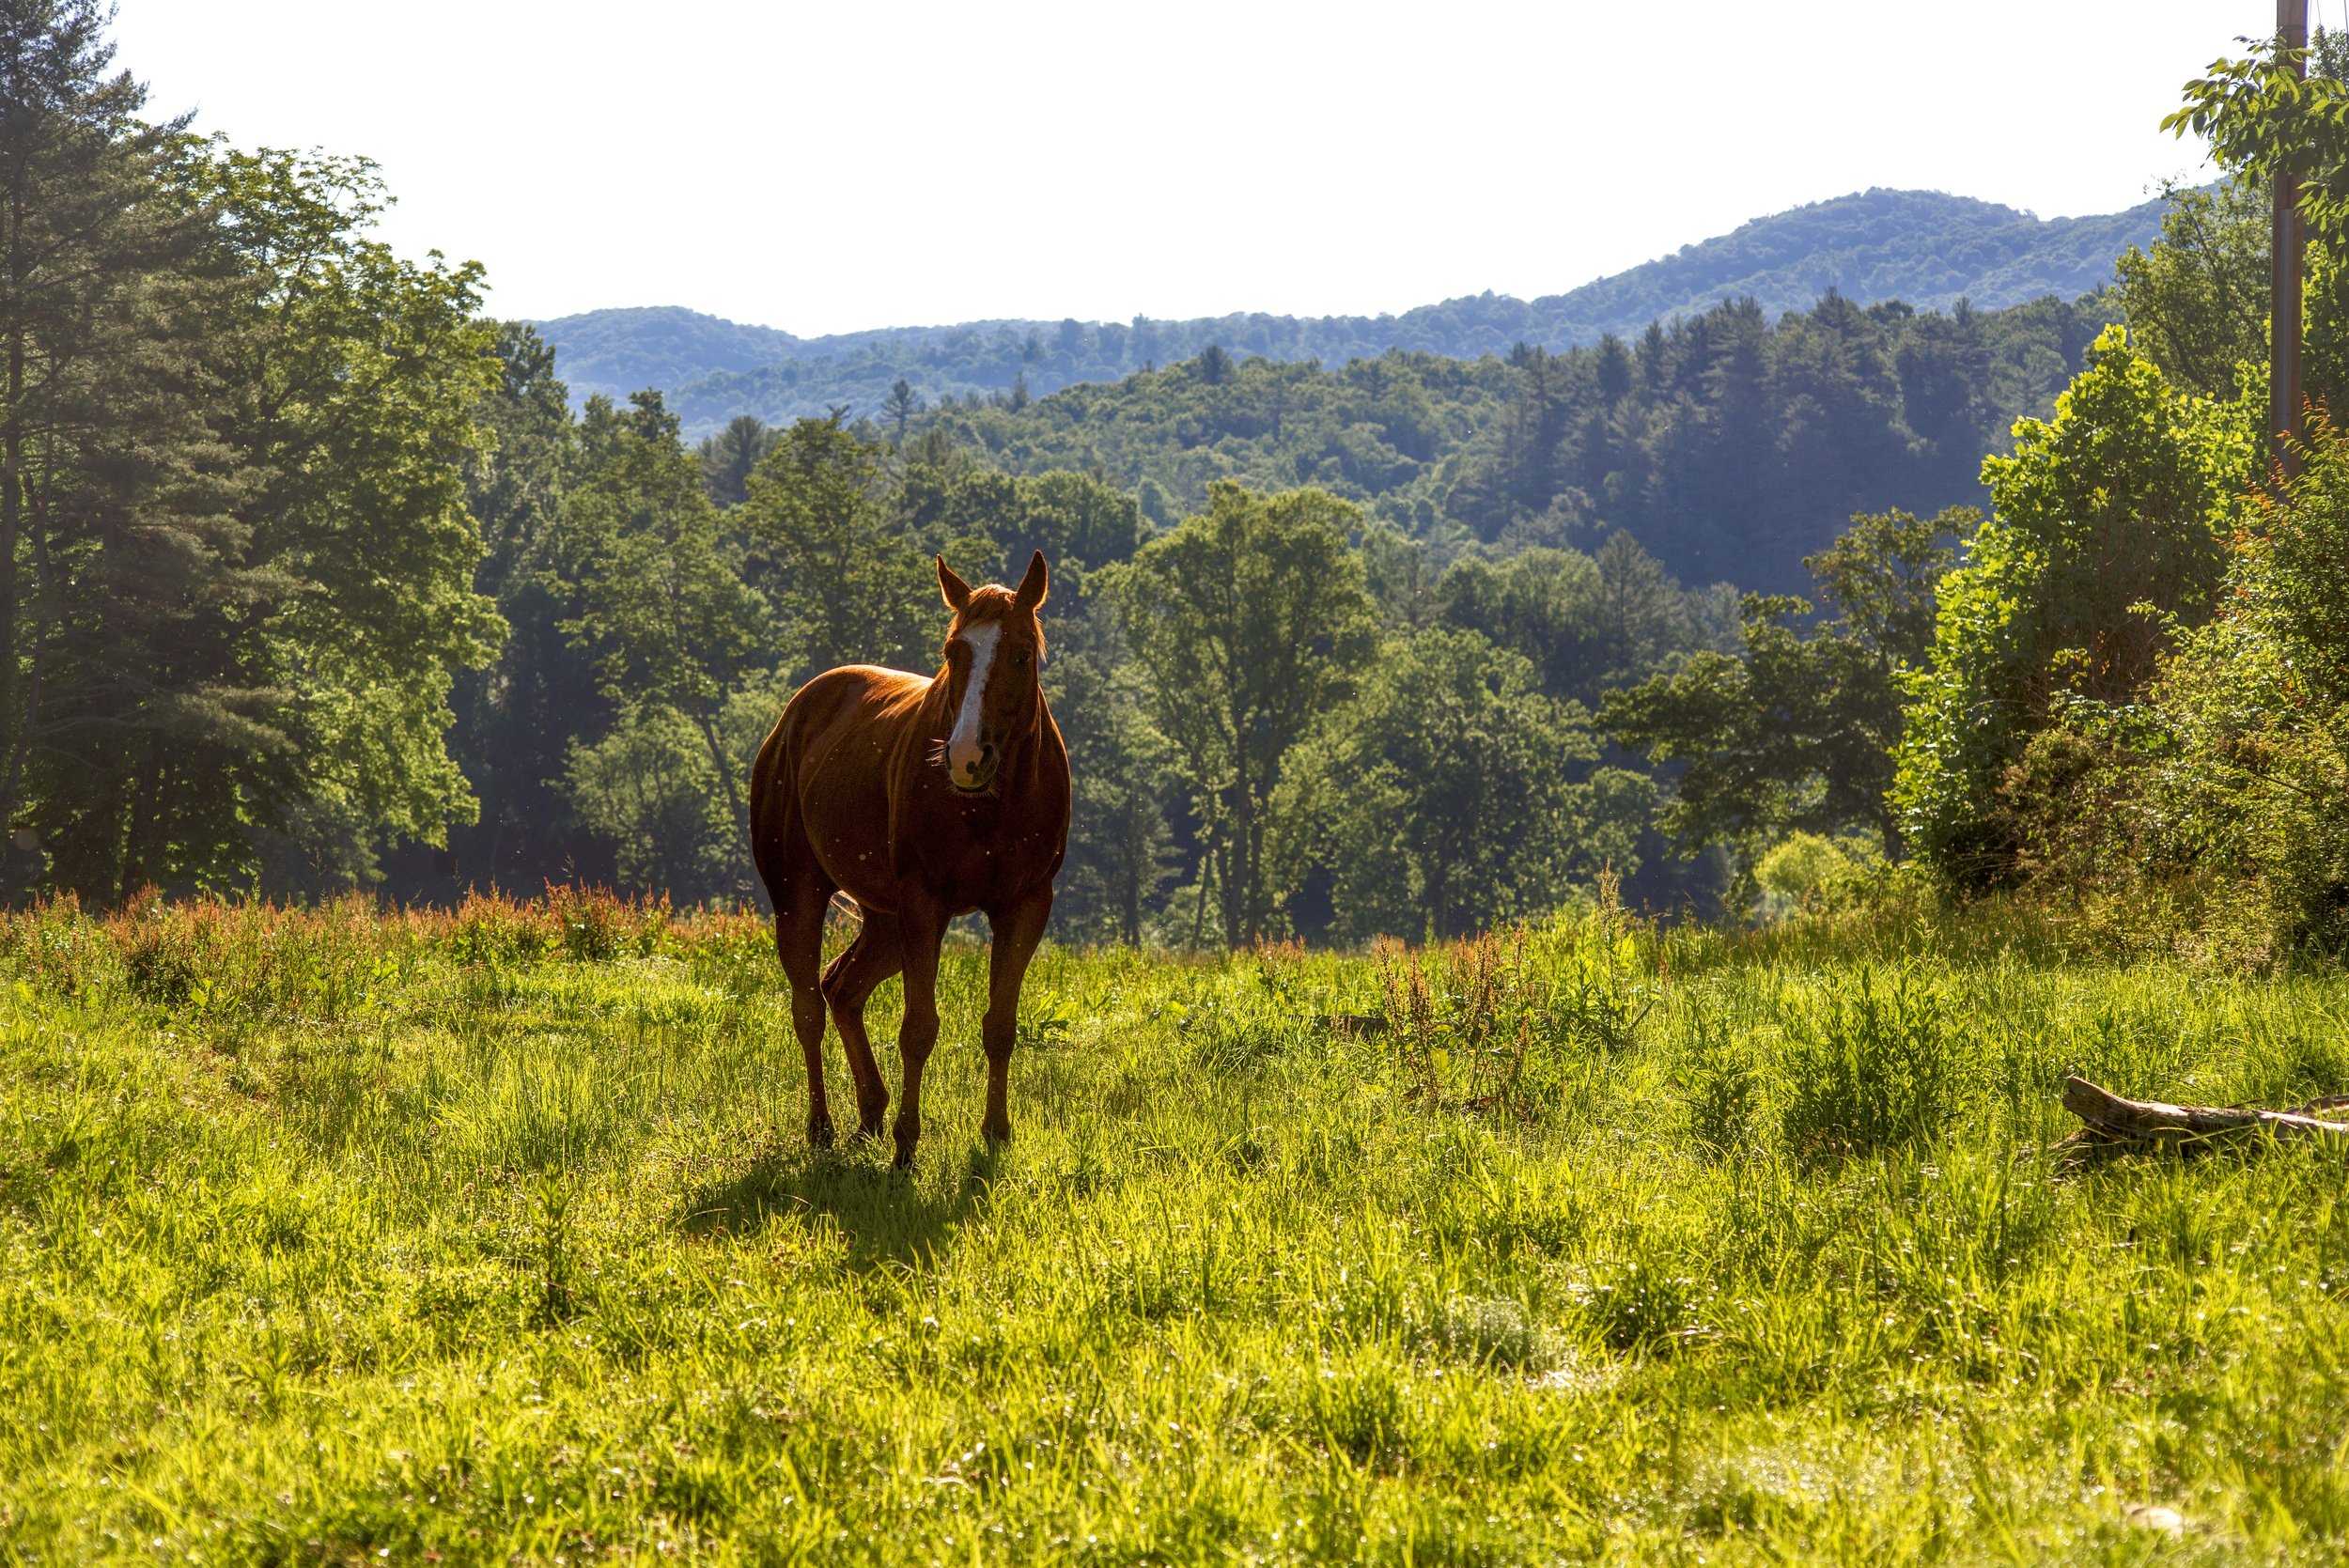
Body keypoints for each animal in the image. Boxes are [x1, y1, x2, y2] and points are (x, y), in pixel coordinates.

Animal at [749, 549, 1070, 1168]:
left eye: (1021, 653)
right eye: (953, 652)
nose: (966, 757)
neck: (987, 806)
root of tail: (795, 716)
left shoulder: (1025, 906)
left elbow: (1001, 1026)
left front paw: (996, 1134)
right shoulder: (925, 906)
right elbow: (918, 1029)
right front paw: (906, 1145)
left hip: (885, 922)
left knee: (842, 989)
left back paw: (870, 1111)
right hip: (799, 894)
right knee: (809, 1008)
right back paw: (823, 1127)